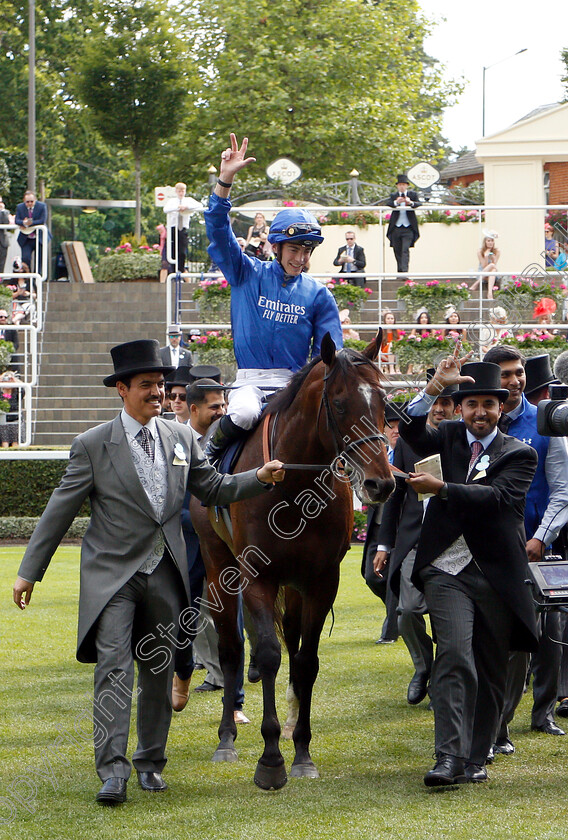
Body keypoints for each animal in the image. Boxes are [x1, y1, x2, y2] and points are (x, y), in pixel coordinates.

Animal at [192, 332, 394, 792]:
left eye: (382, 401)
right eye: (339, 403)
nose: (382, 483)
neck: (295, 484)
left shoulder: (320, 580)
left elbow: (306, 660)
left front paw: (301, 750)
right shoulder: (257, 578)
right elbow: (267, 653)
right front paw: (270, 761)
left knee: (292, 640)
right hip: (217, 567)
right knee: (230, 649)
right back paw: (226, 739)